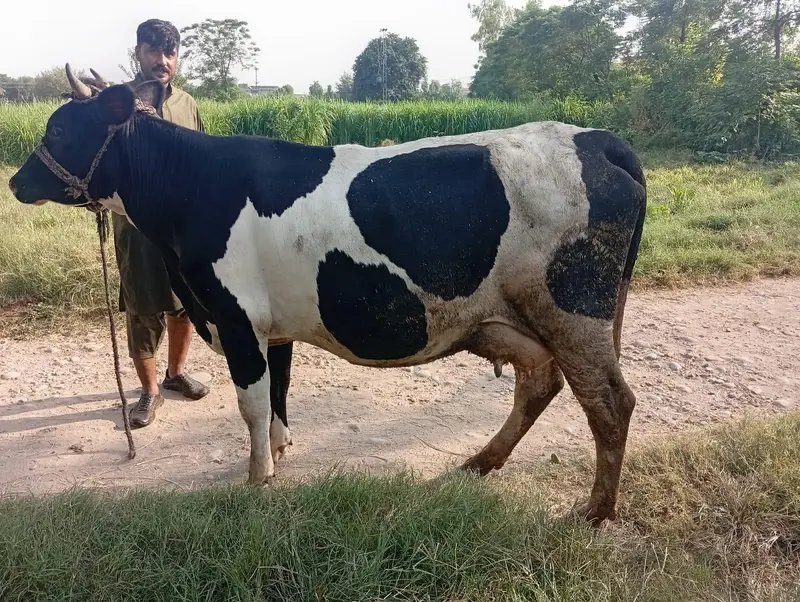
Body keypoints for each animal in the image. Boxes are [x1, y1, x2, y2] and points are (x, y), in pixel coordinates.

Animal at [8, 70, 647, 524]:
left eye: (59, 129)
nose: (15, 182)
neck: (193, 189)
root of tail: (596, 138)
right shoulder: (273, 325)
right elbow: (279, 391)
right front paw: (281, 451)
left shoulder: (236, 317)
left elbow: (252, 401)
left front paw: (257, 478)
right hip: (511, 318)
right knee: (539, 381)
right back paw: (483, 462)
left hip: (574, 310)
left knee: (609, 403)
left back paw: (596, 511)